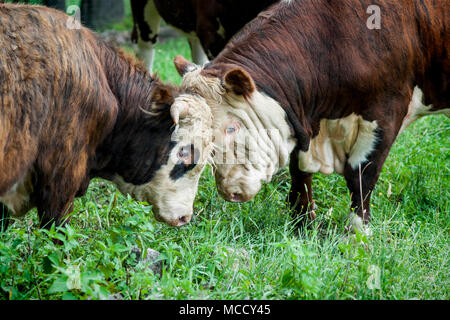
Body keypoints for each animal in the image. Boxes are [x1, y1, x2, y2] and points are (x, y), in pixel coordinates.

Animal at [174, 0, 448, 235]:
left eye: (232, 128)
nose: (230, 192)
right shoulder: (303, 121)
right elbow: (300, 175)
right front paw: (303, 225)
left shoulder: (386, 112)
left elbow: (361, 176)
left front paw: (358, 233)